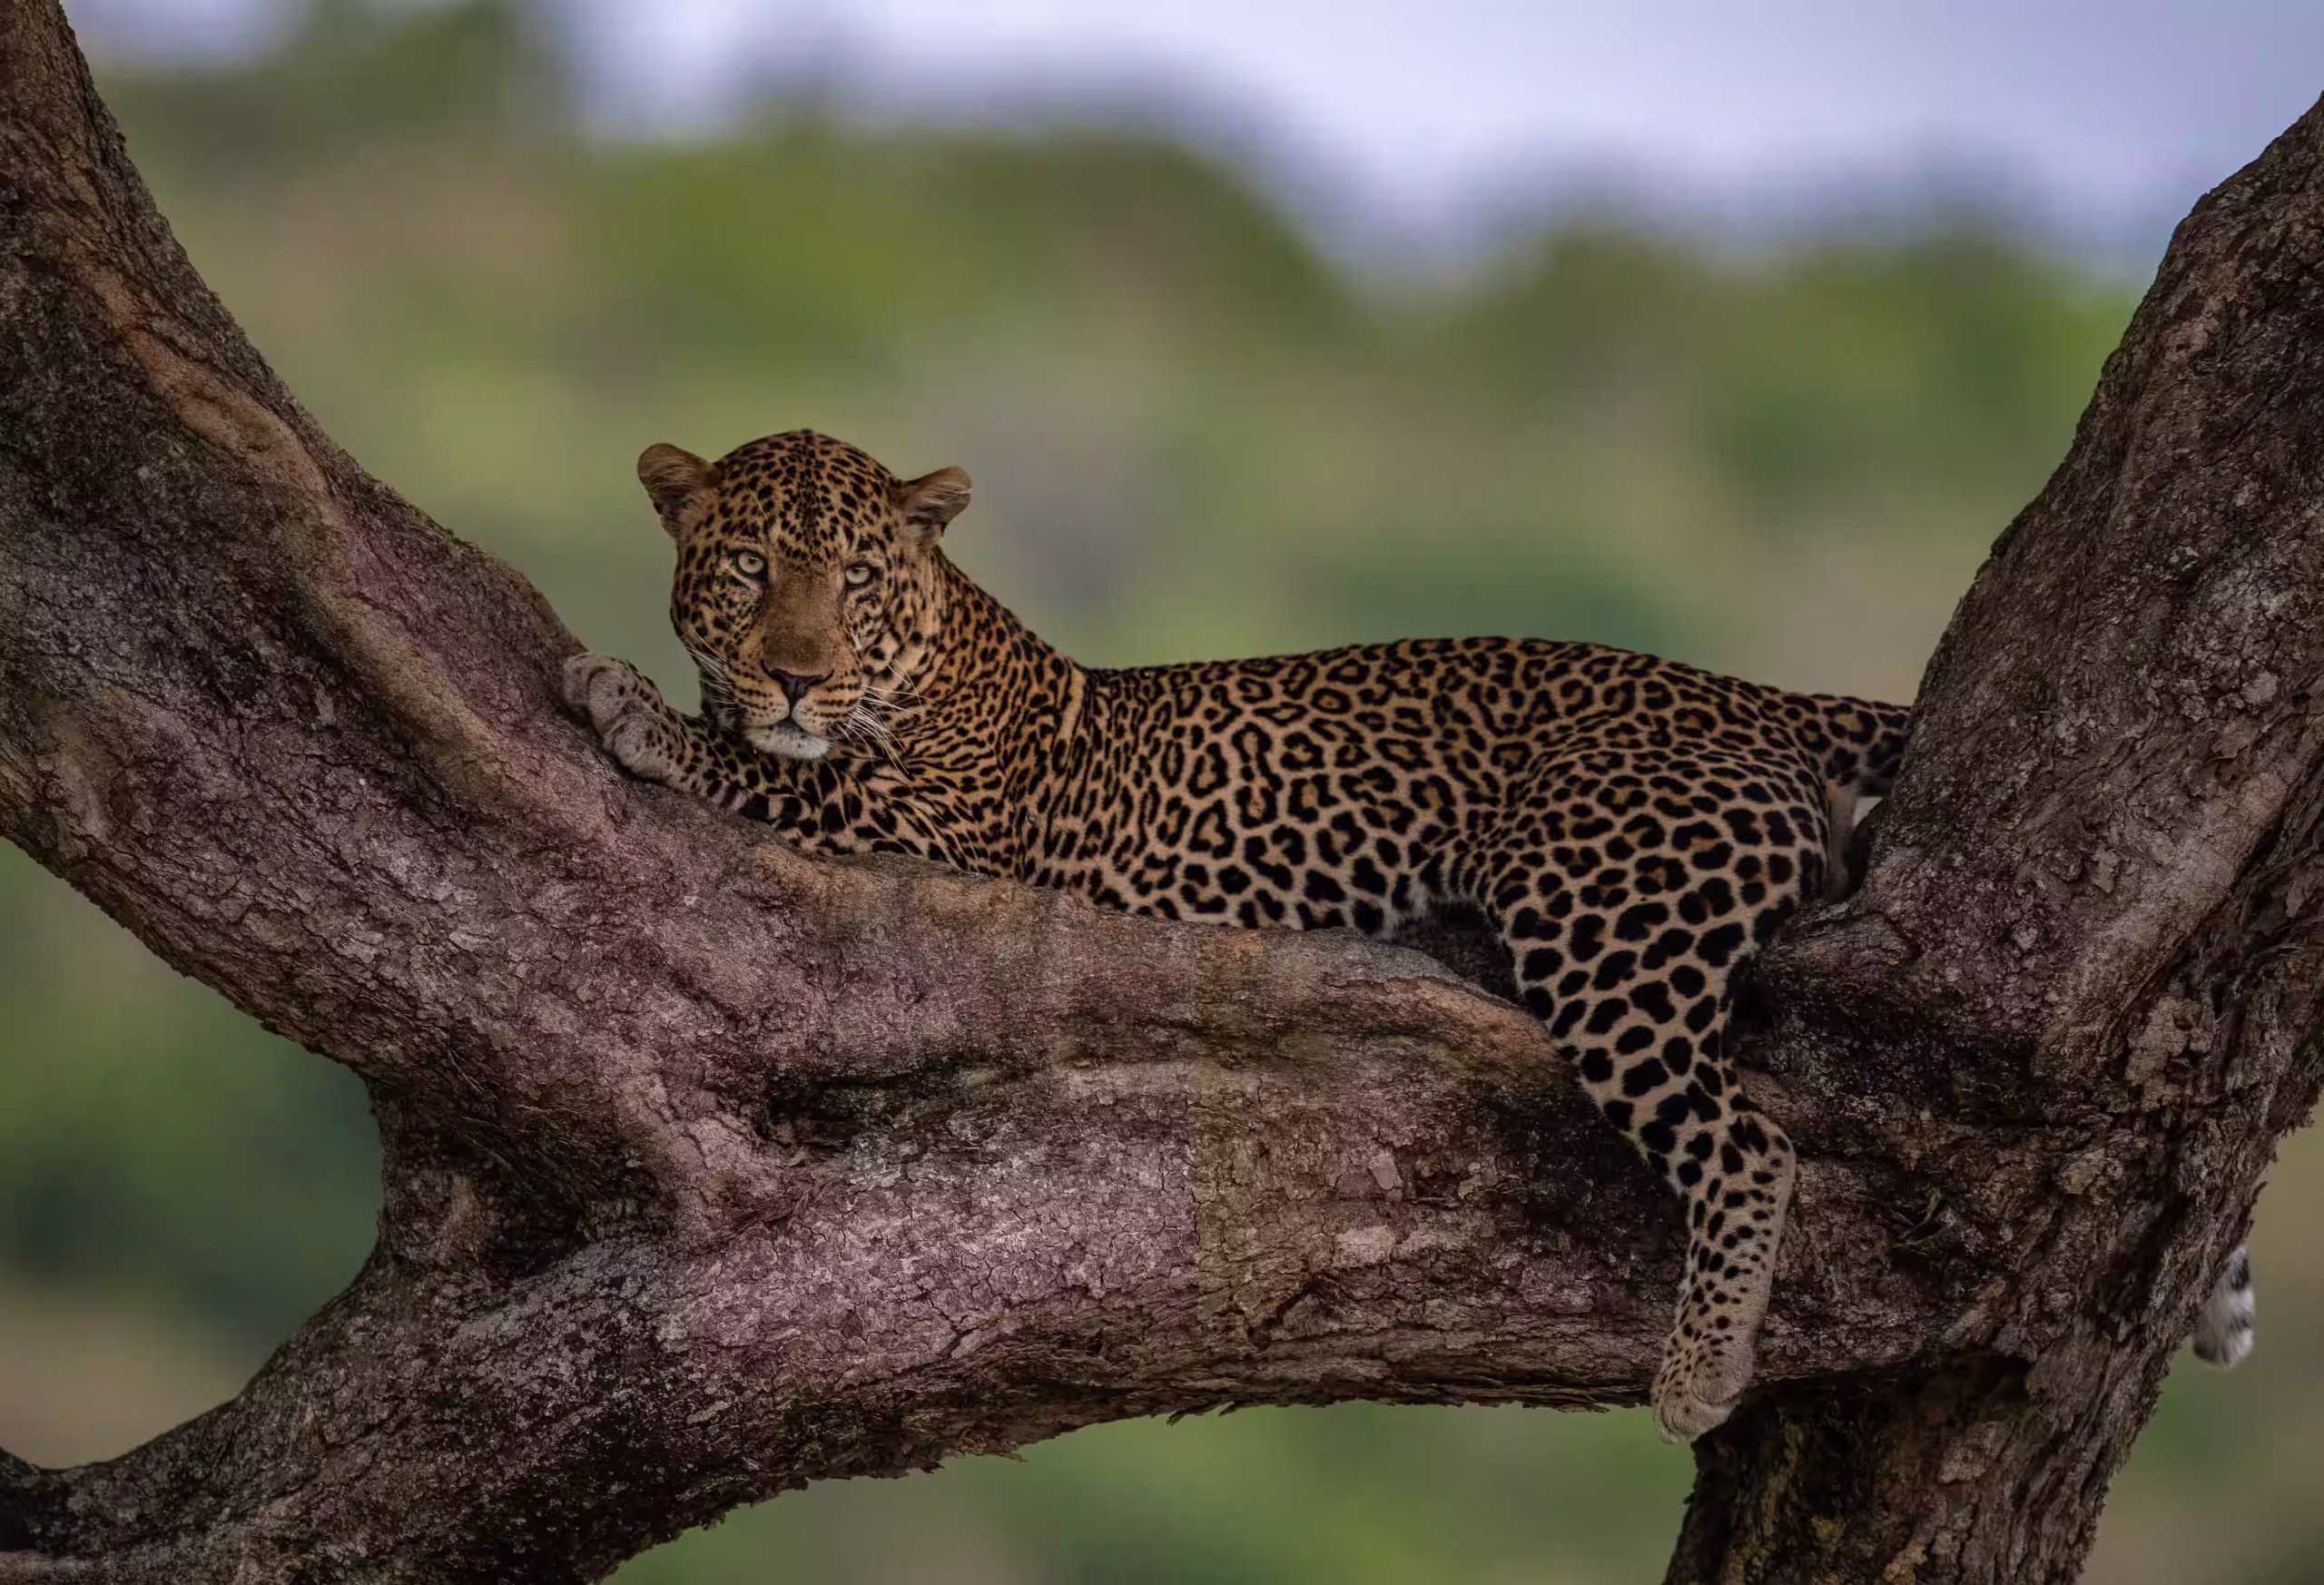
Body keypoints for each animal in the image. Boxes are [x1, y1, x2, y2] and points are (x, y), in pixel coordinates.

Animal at [562, 427, 2254, 1440]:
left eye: (851, 581)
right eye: (747, 569)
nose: (795, 671)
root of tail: (1743, 694)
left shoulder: (946, 832)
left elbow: (785, 775)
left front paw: (630, 701)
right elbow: (778, 758)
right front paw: (679, 698)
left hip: (1602, 919)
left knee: (1751, 1139)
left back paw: (1702, 1367)